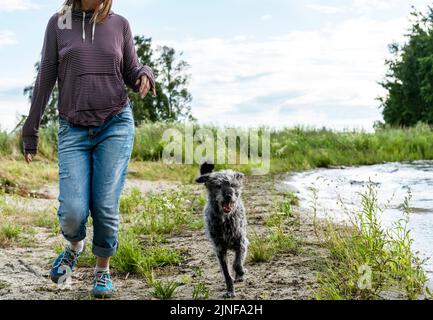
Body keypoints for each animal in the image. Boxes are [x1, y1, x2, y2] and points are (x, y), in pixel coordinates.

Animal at [195, 162, 248, 298]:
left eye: (233, 185)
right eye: (218, 186)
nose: (228, 195)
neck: (225, 220)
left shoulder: (241, 242)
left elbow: (237, 263)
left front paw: (241, 272)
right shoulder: (220, 250)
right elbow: (227, 273)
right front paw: (230, 290)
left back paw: (240, 275)